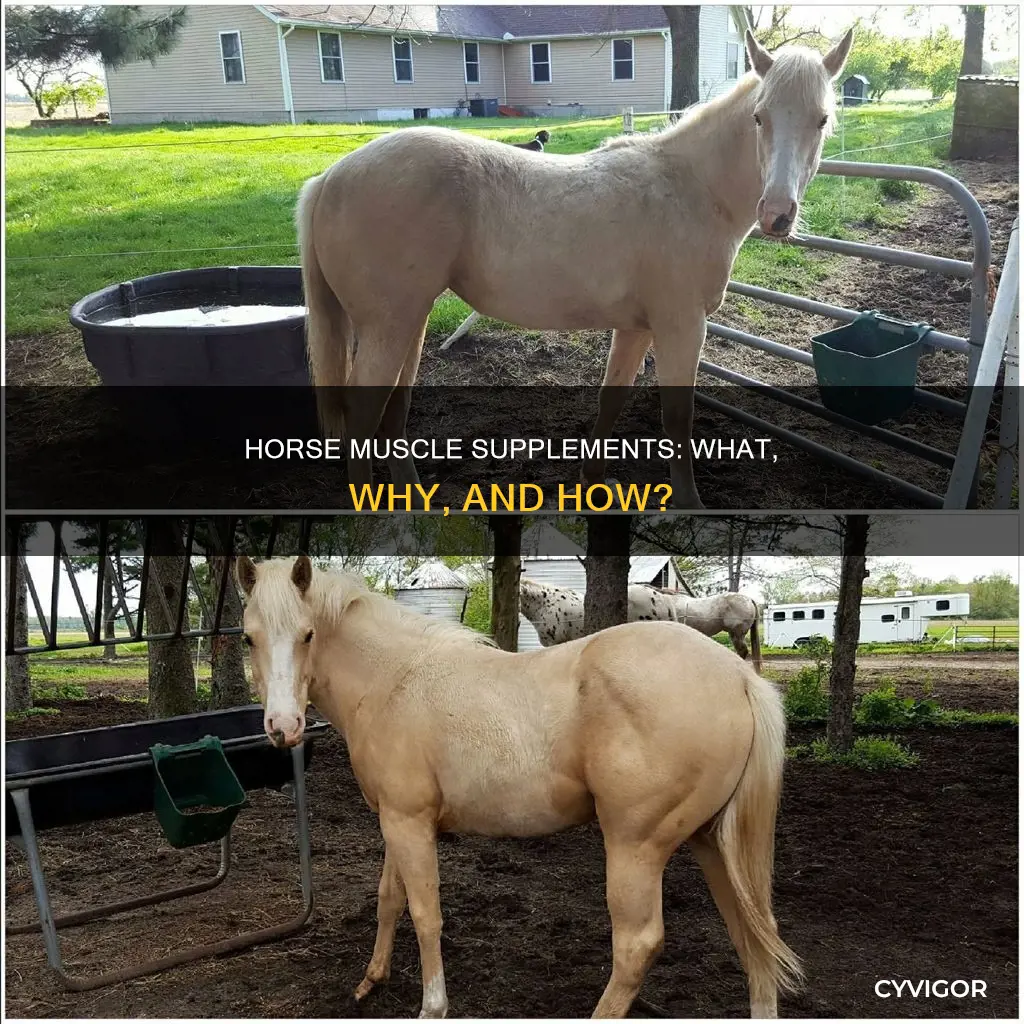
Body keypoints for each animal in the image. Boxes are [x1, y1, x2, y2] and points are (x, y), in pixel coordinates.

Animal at [236, 555, 801, 1018]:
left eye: (308, 634)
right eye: (248, 638)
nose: (282, 727)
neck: (395, 681)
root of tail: (740, 678)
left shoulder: (409, 823)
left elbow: (425, 914)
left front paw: (432, 1007)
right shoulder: (396, 821)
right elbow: (389, 898)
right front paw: (371, 980)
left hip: (636, 848)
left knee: (637, 947)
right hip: (714, 842)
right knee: (754, 936)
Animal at [296, 29, 854, 508]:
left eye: (822, 119)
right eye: (760, 118)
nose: (777, 215)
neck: (690, 187)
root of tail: (329, 178)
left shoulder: (637, 329)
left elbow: (612, 399)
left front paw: (593, 483)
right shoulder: (682, 326)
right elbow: (678, 419)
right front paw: (690, 504)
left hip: (409, 324)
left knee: (391, 418)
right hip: (390, 328)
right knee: (363, 421)